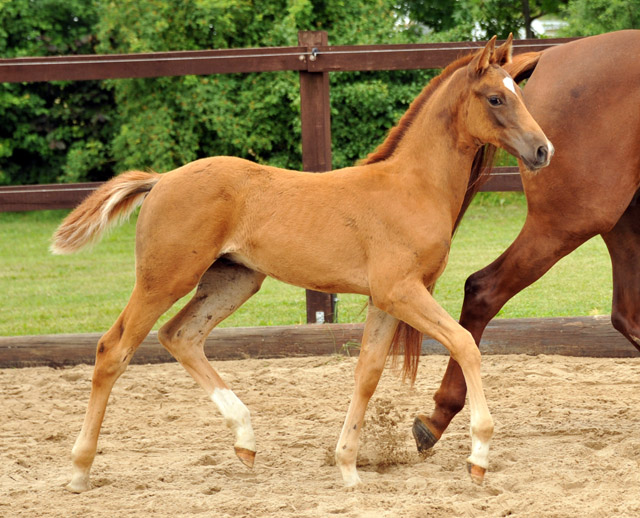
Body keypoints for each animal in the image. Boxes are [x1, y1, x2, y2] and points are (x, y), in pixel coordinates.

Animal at [51, 35, 552, 492]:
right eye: (495, 98)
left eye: (518, 92)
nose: (543, 150)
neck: (412, 186)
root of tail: (160, 180)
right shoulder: (401, 291)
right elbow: (466, 344)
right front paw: (479, 456)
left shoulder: (385, 299)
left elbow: (367, 372)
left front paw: (348, 467)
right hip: (164, 279)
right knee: (113, 349)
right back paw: (78, 469)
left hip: (234, 280)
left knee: (180, 335)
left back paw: (246, 440)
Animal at [412, 30, 640, 456]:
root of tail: (551, 55)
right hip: (571, 220)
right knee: (483, 288)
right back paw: (438, 416)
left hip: (618, 218)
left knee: (626, 315)